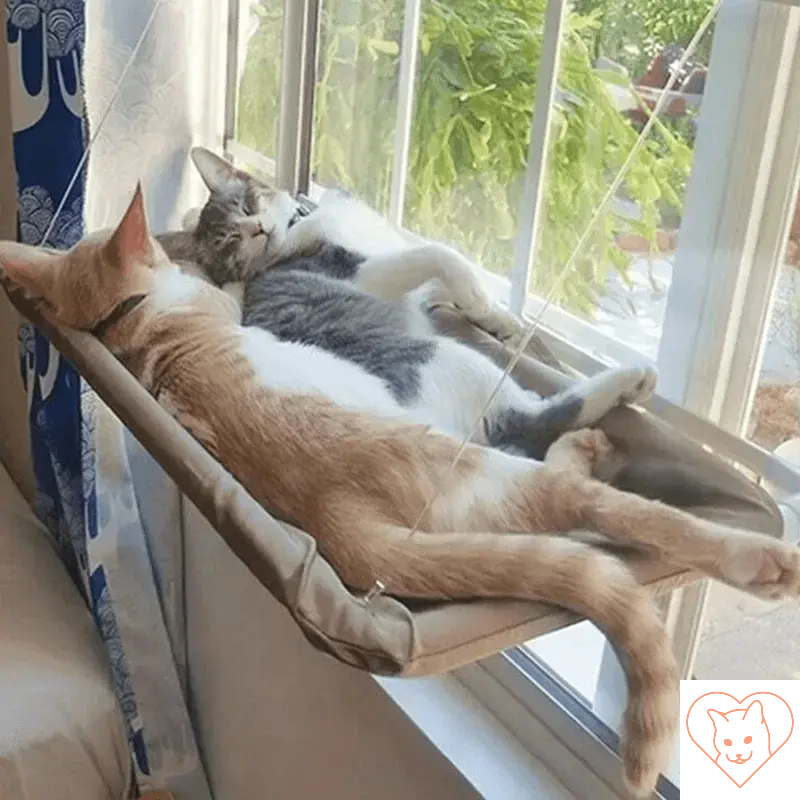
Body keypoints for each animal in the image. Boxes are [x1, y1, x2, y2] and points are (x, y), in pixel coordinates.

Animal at [155, 148, 656, 462]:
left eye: (247, 204)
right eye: (229, 242)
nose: (258, 230)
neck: (303, 221)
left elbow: (444, 284)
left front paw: (497, 317)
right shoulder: (364, 273)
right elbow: (439, 254)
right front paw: (480, 297)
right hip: (449, 362)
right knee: (538, 418)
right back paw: (631, 381)